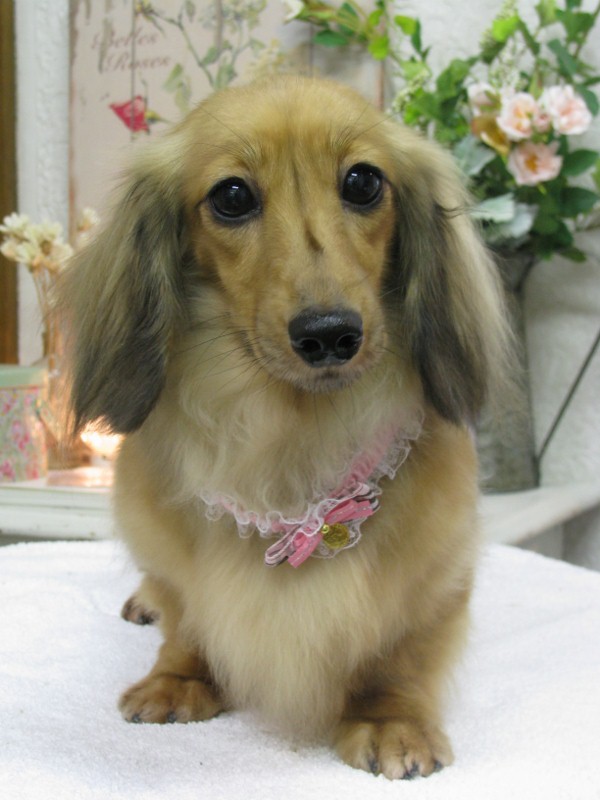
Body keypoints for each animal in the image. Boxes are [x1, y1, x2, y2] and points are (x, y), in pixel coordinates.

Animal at [63, 76, 510, 780]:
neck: (295, 439)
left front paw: (391, 720)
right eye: (232, 196)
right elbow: (187, 617)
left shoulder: (437, 577)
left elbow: (399, 653)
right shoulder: (171, 560)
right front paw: (179, 678)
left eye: (363, 182)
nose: (329, 334)